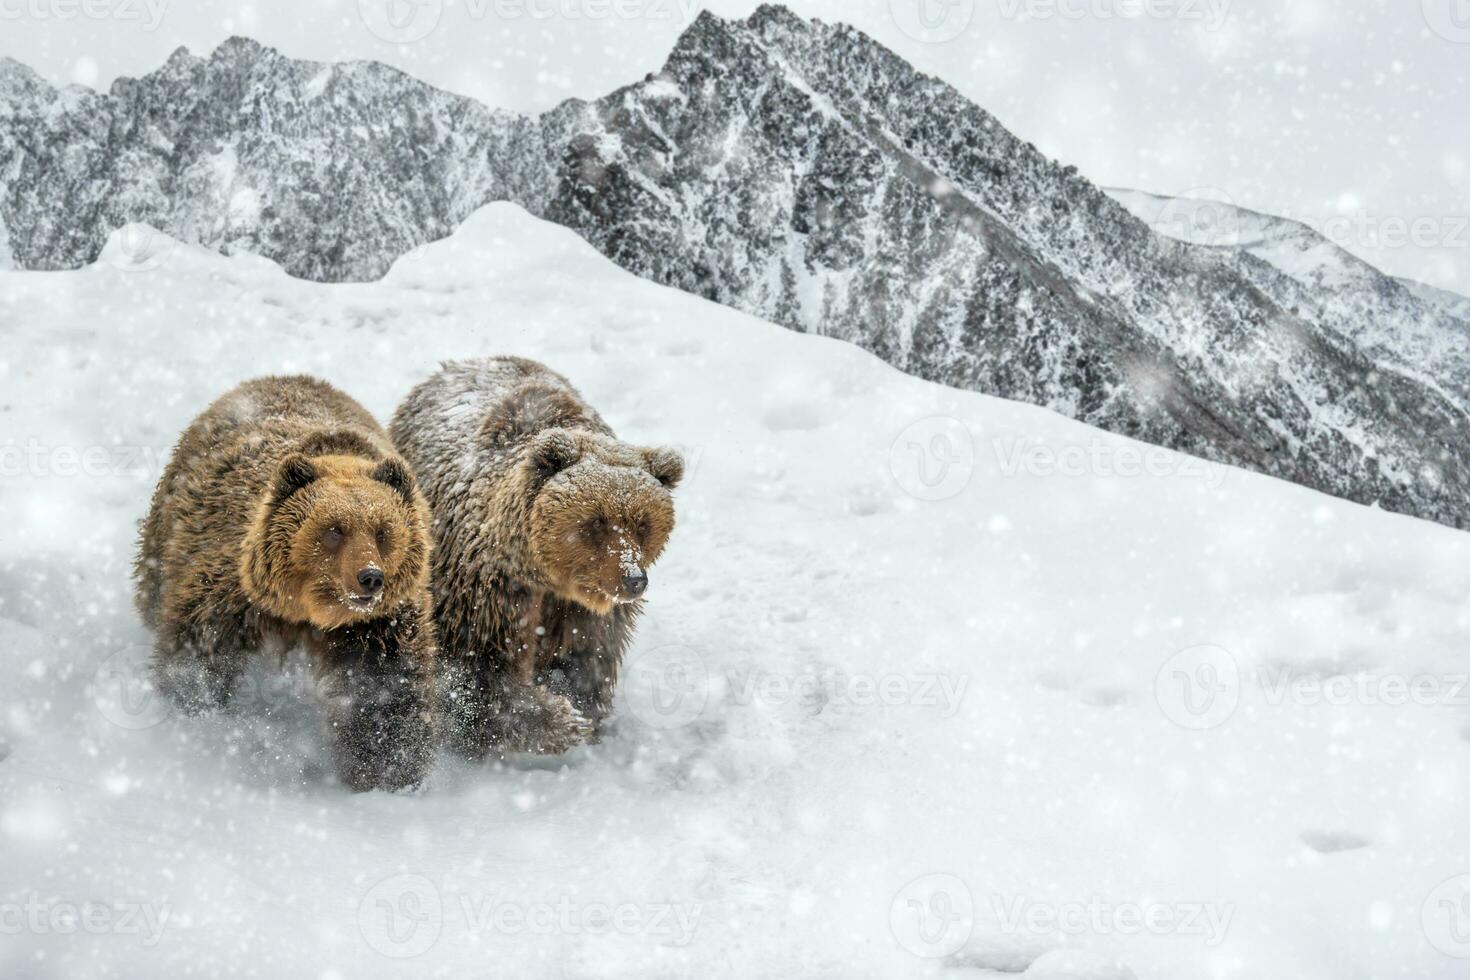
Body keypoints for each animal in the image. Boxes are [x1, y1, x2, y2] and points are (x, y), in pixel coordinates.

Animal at [134, 371, 435, 793]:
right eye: (334, 530)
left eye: (383, 531)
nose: (370, 577)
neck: (306, 611)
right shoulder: (235, 587)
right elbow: (201, 644)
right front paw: (194, 710)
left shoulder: (377, 624)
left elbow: (384, 690)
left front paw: (387, 772)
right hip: (170, 528)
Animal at [385, 357, 682, 758]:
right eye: (596, 521)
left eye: (643, 523)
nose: (633, 579)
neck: (546, 576)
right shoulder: (488, 588)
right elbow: (480, 669)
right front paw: (560, 720)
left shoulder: (585, 611)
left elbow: (585, 658)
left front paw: (580, 710)